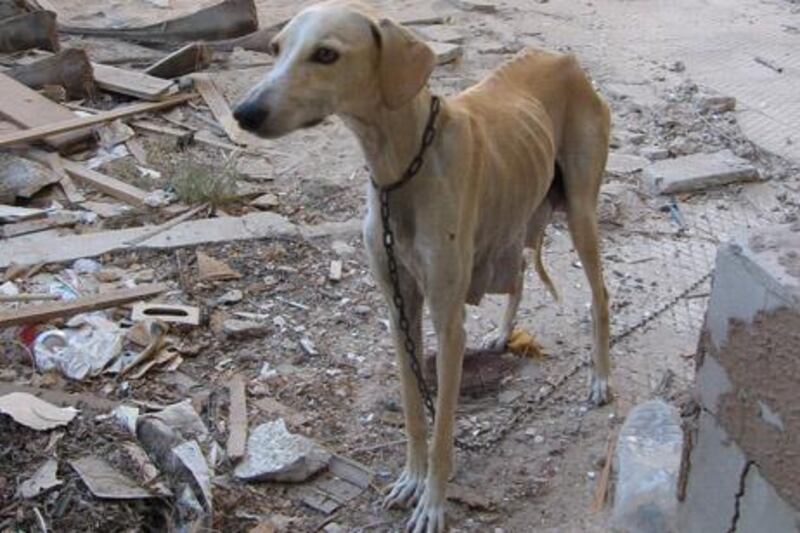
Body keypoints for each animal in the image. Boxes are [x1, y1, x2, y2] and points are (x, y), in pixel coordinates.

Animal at [234, 2, 608, 528]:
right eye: (274, 49)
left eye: (326, 54)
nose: (243, 113)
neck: (404, 165)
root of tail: (562, 58)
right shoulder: (400, 309)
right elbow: (414, 412)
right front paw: (410, 481)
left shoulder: (447, 322)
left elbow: (442, 427)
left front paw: (432, 503)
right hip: (514, 214)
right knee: (517, 276)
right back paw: (504, 334)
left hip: (579, 211)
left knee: (599, 295)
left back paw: (601, 379)